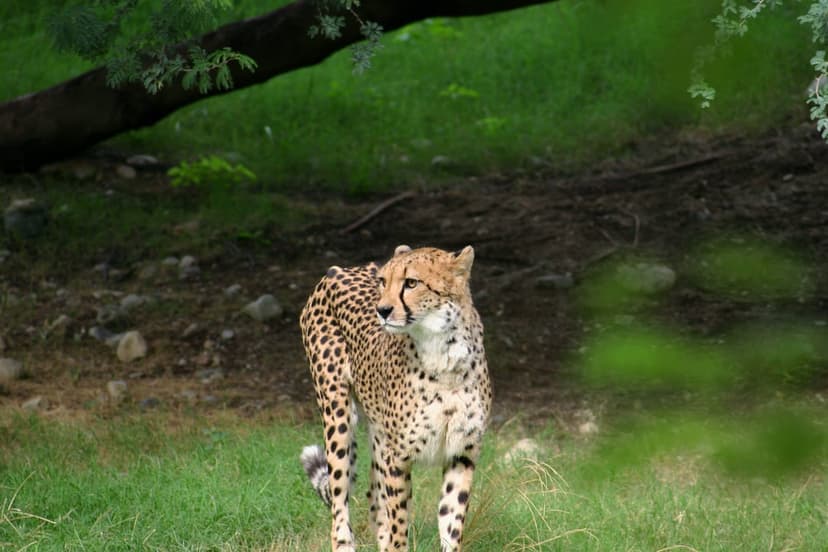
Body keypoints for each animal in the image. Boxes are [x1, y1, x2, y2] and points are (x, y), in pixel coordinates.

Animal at [299, 244, 492, 552]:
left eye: (411, 283)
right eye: (383, 282)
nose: (382, 310)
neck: (444, 356)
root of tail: (339, 270)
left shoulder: (462, 453)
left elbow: (451, 522)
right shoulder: (397, 457)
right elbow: (398, 524)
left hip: (378, 434)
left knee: (373, 500)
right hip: (338, 416)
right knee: (340, 503)